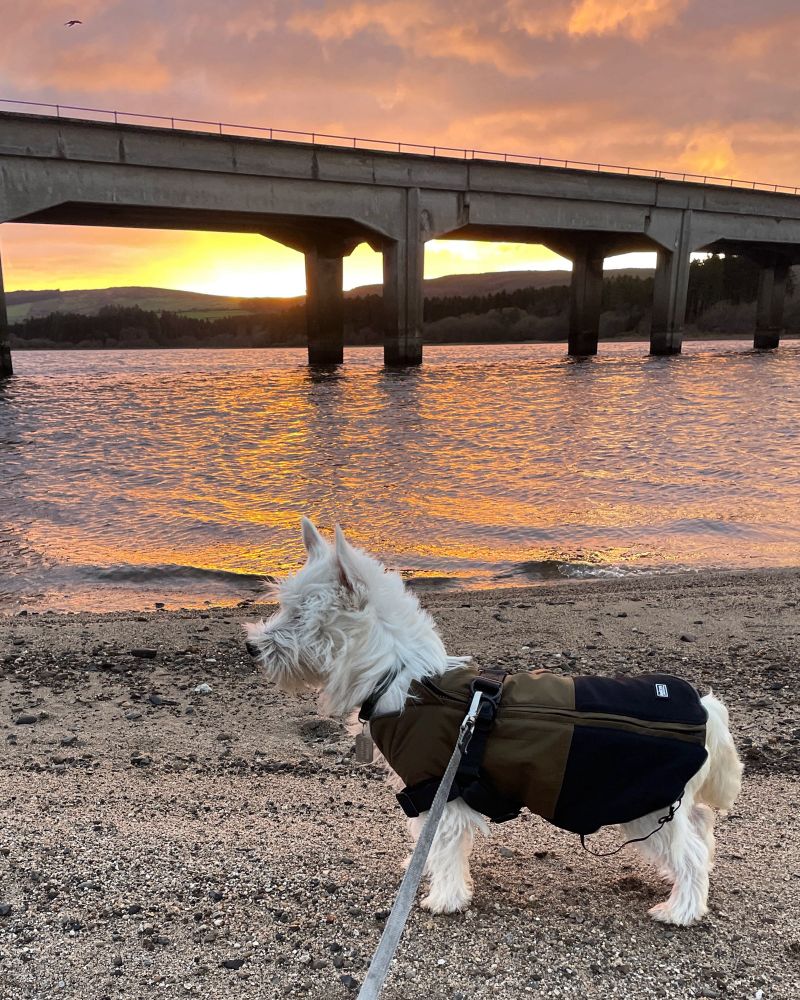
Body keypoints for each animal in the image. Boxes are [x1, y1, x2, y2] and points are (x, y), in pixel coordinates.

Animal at [244, 518, 743, 926]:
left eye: (299, 615)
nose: (250, 647)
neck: (404, 678)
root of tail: (705, 711)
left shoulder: (438, 791)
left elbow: (443, 848)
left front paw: (443, 898)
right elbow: (427, 844)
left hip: (647, 808)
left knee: (691, 855)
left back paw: (681, 910)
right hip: (669, 806)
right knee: (701, 834)